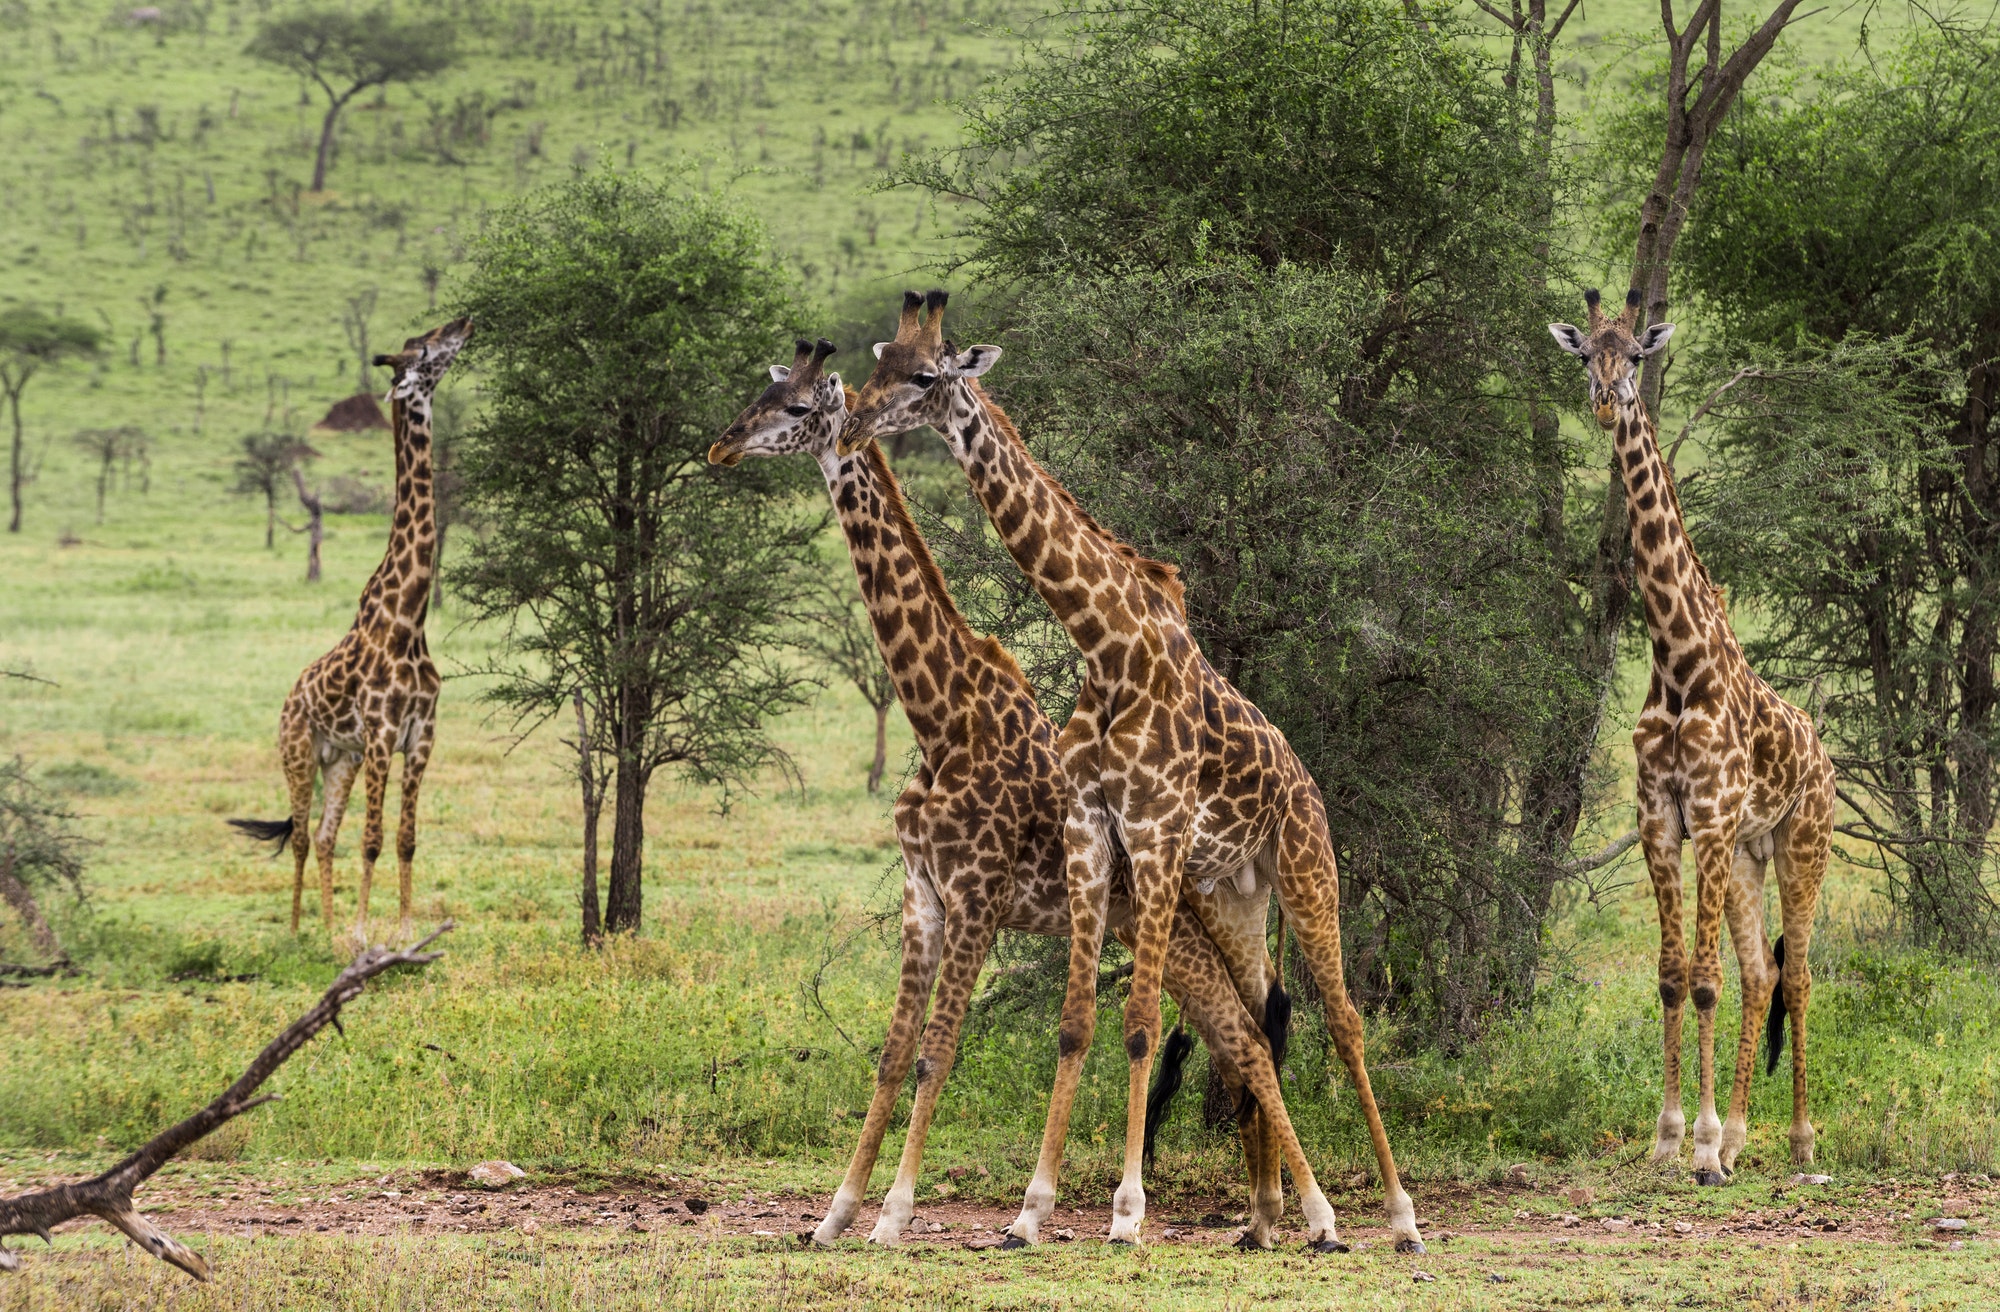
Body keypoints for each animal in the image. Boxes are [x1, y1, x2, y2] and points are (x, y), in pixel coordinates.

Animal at [231, 318, 472, 944]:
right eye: (425, 349)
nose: (465, 323)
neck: (409, 620)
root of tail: (290, 695)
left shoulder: (422, 737)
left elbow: (406, 840)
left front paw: (404, 930)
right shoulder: (384, 735)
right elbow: (374, 840)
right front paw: (365, 933)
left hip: (342, 759)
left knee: (322, 835)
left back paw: (326, 927)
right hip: (298, 752)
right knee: (299, 835)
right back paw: (299, 930)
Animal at [712, 330, 1304, 1248]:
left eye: (798, 406)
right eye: (763, 394)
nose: (721, 447)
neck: (941, 716)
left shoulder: (976, 897)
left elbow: (935, 1053)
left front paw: (893, 1215)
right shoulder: (924, 895)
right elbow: (892, 1056)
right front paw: (834, 1214)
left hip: (1182, 923)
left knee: (1247, 1032)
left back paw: (1284, 1210)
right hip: (1169, 932)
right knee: (1241, 1032)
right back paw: (1265, 1213)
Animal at [844, 292, 1424, 1256]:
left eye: (924, 376)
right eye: (879, 358)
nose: (853, 420)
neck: (1106, 642)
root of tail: (1307, 785)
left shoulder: (1152, 828)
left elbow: (1143, 1026)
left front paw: (1125, 1211)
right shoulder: (1091, 829)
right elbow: (1080, 1023)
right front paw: (1030, 1213)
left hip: (1308, 872)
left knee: (1342, 1021)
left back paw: (1396, 1215)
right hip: (1235, 897)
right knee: (1261, 1019)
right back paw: (1271, 1217)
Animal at [1552, 290, 1832, 1192]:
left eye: (1637, 354)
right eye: (1585, 354)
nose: (1607, 401)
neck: (1677, 663)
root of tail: (1825, 757)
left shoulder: (1706, 815)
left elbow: (1703, 982)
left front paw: (1702, 1149)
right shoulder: (1662, 820)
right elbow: (1677, 978)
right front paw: (1672, 1138)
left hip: (1799, 844)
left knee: (1798, 975)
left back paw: (1799, 1141)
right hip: (1746, 857)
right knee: (1760, 973)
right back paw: (1744, 1136)